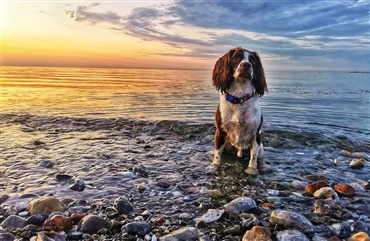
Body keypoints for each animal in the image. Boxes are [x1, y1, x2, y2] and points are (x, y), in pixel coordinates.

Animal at [212, 46, 268, 175]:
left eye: (253, 60)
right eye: (236, 58)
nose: (246, 65)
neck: (239, 98)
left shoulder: (256, 135)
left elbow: (253, 159)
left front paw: (251, 171)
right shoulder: (220, 132)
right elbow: (217, 157)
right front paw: (214, 167)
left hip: (261, 149)